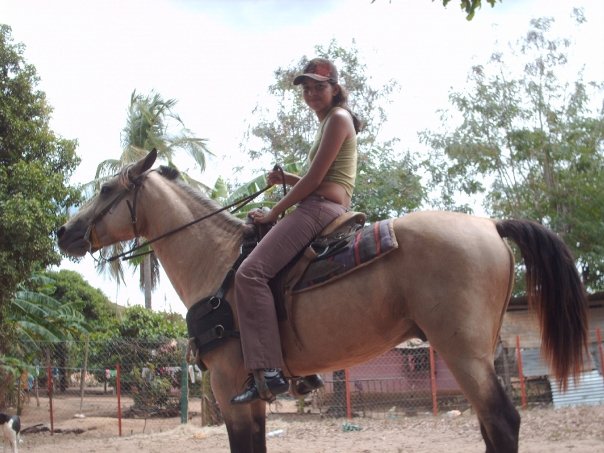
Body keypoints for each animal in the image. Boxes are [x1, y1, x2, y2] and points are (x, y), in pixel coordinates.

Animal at [55, 151, 584, 452]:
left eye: (106, 188)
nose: (64, 231)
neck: (217, 262)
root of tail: (491, 225)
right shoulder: (253, 396)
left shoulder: (229, 389)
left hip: (463, 353)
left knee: (502, 423)